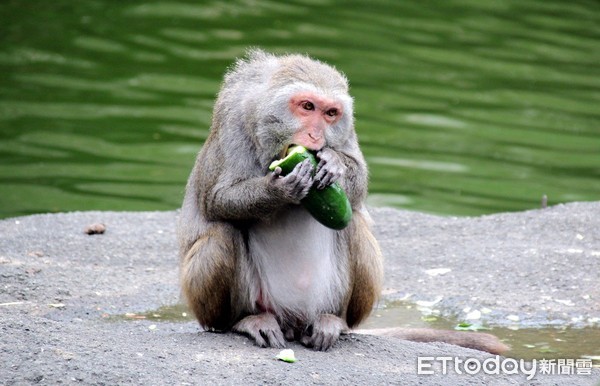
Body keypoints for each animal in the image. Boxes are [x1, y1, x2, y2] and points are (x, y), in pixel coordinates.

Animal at [177, 51, 506, 356]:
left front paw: (334, 163)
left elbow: (357, 184)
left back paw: (333, 322)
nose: (315, 135)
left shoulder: (346, 133)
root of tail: (294, 322)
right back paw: (246, 320)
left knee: (354, 225)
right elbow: (218, 200)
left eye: (331, 113)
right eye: (307, 107)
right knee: (221, 234)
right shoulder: (232, 120)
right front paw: (280, 190)